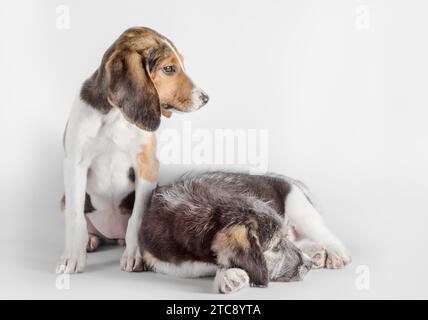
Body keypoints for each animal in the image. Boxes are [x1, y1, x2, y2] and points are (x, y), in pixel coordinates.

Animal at [56, 26, 210, 276]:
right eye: (169, 69)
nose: (206, 98)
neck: (116, 117)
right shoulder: (74, 164)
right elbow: (75, 216)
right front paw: (72, 257)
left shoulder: (146, 167)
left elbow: (136, 219)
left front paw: (135, 255)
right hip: (64, 198)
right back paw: (90, 240)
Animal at [140, 171, 352, 294]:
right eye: (276, 246)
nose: (307, 265)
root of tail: (290, 180)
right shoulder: (160, 261)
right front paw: (229, 275)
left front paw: (228, 275)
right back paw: (315, 252)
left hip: (298, 204)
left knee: (322, 232)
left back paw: (334, 253)